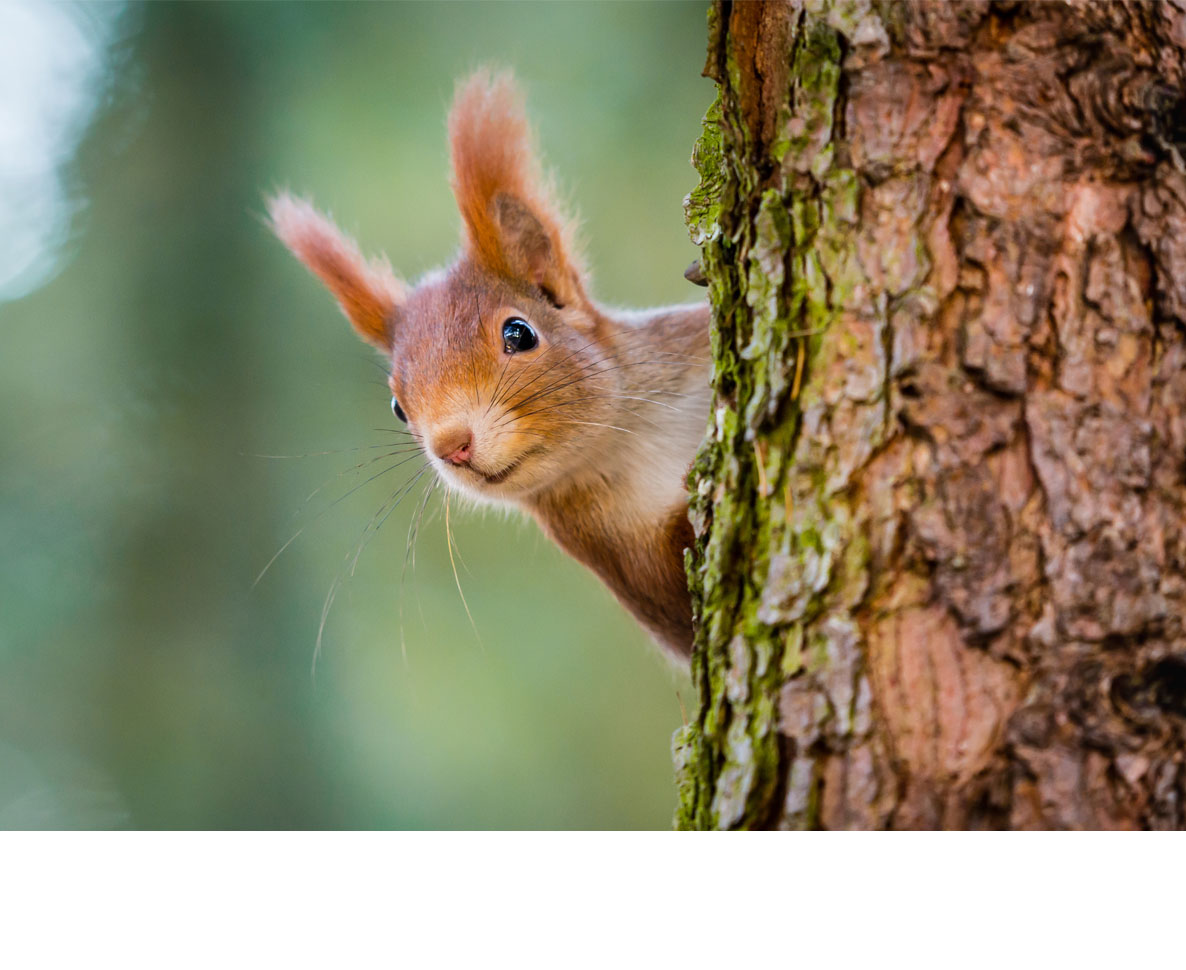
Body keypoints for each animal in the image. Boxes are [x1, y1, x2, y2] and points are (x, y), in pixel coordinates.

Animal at [269, 68, 706, 659]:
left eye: (519, 333)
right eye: (397, 407)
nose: (452, 445)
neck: (630, 439)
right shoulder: (624, 560)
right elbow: (681, 604)